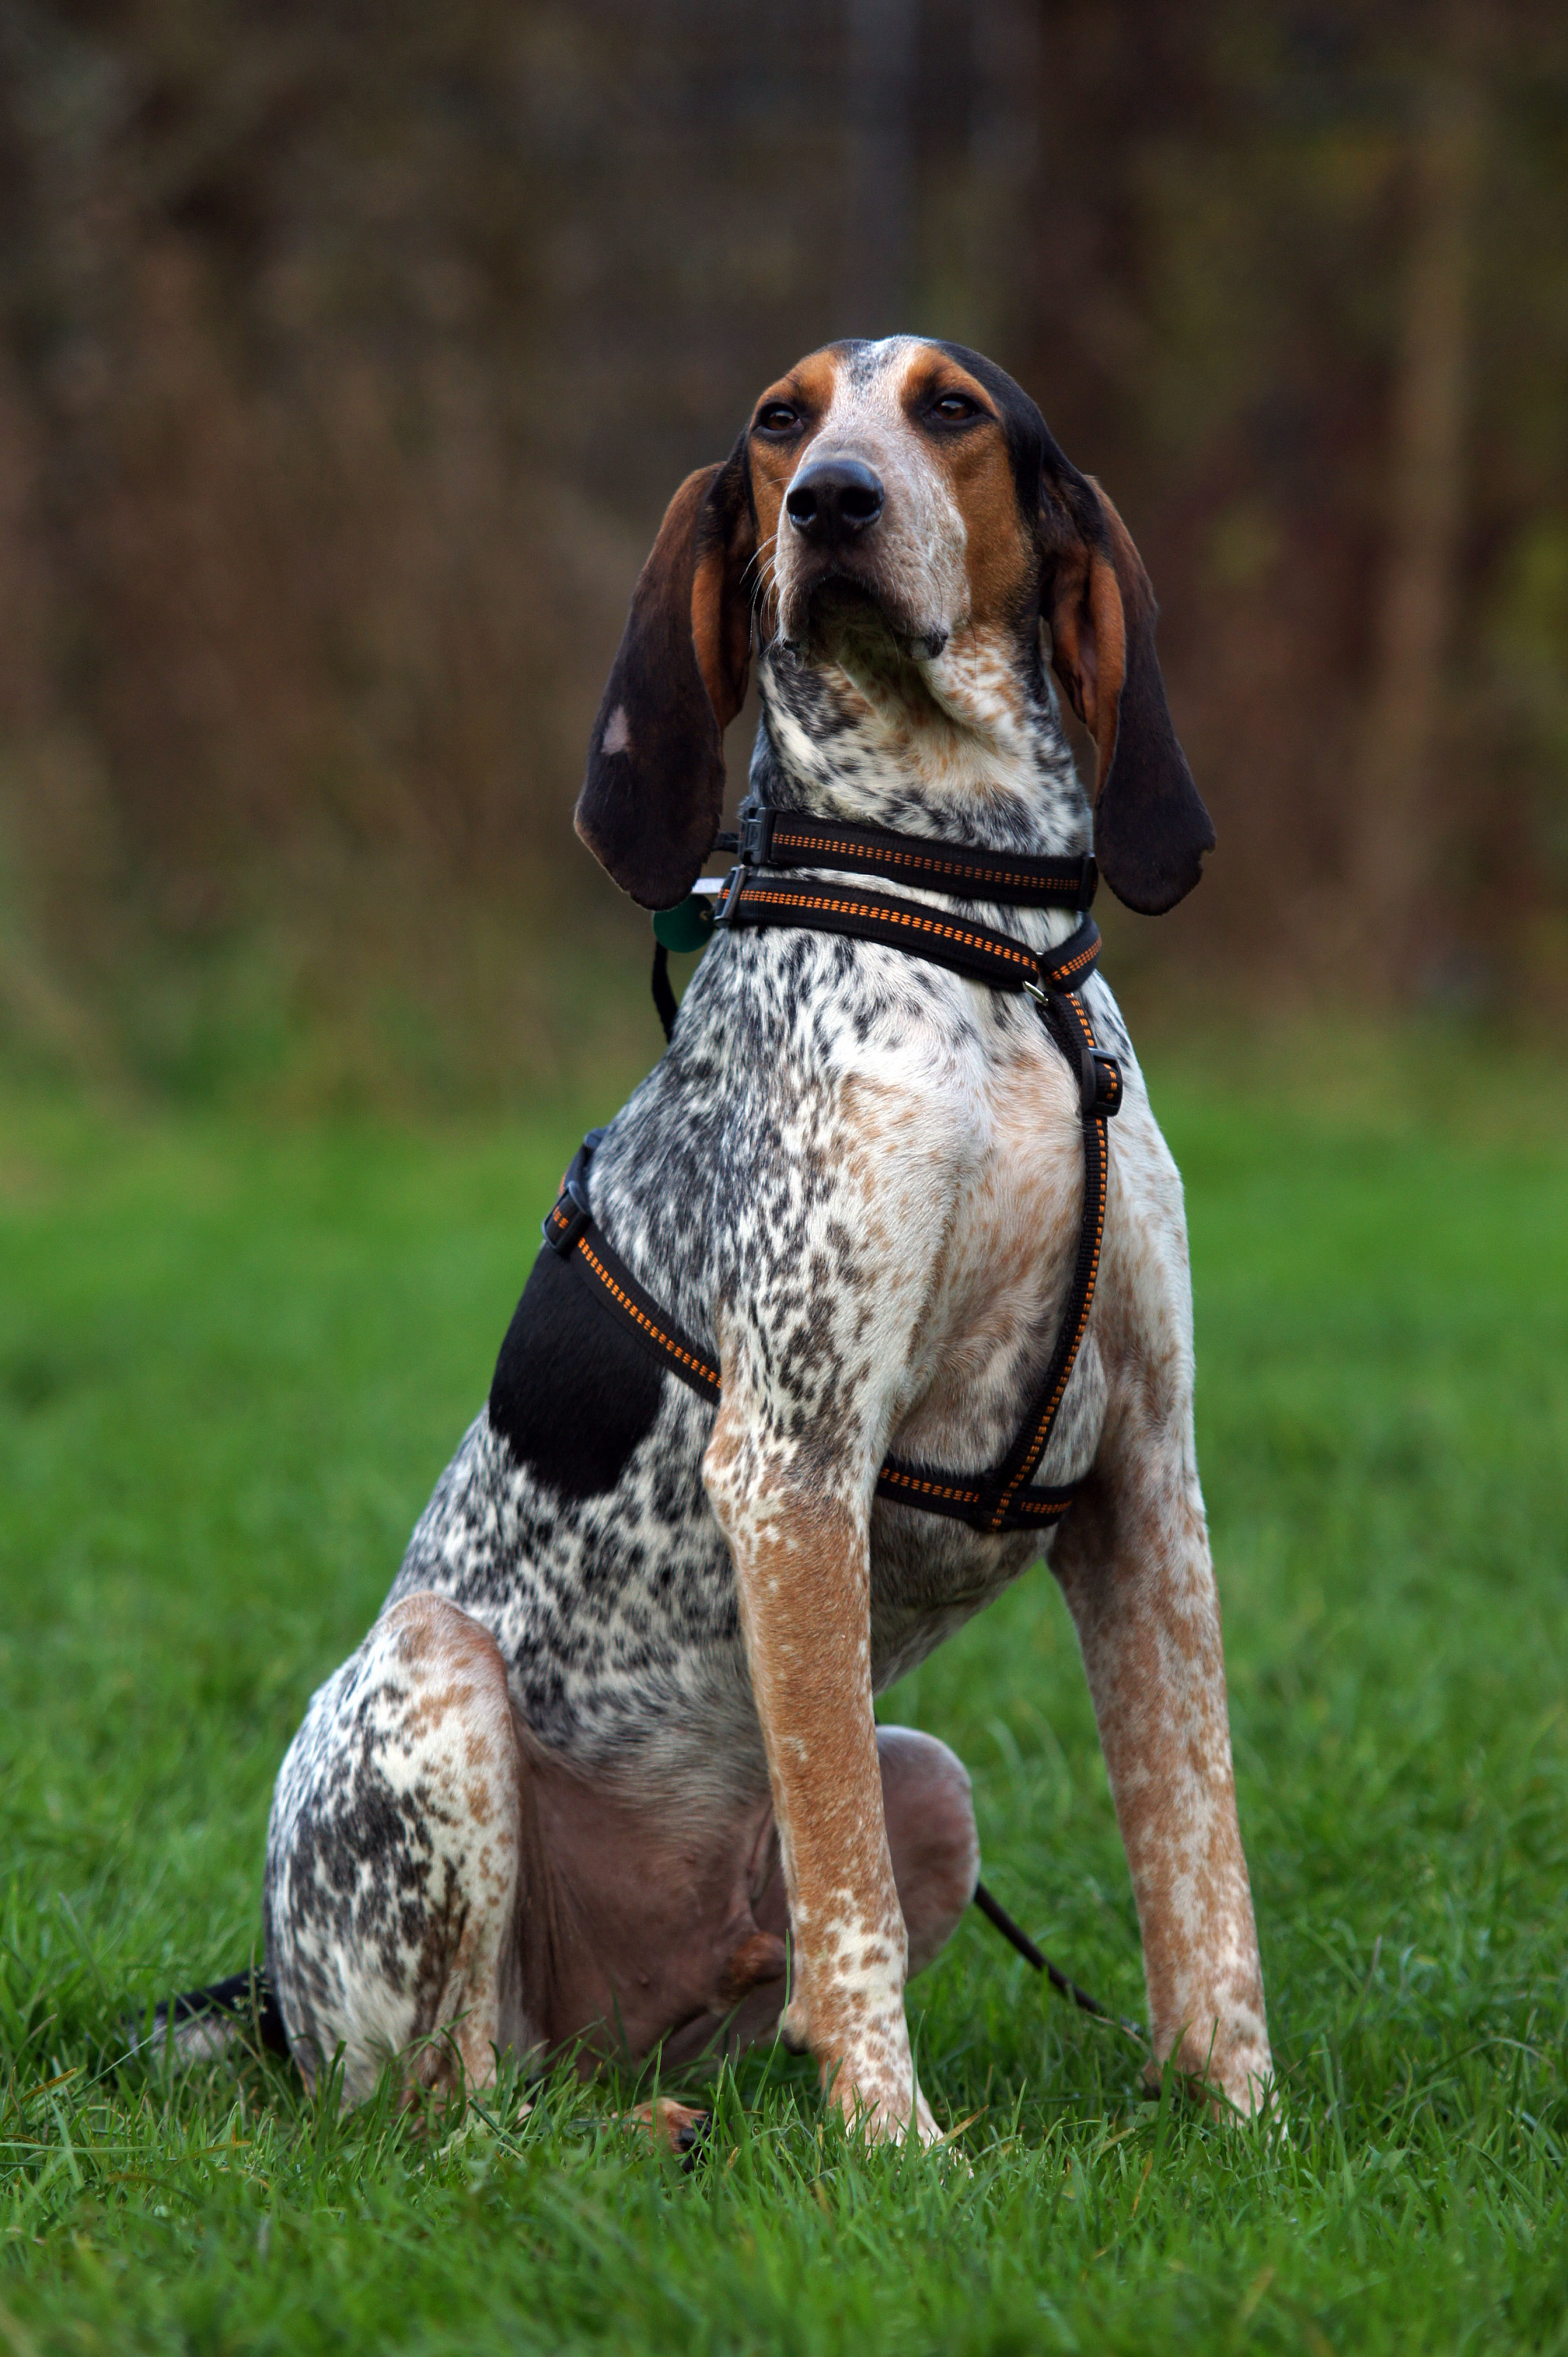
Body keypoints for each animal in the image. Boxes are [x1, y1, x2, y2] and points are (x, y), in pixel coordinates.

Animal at [251, 342, 1273, 2150]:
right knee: (444, 2103)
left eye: (950, 411)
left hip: (926, 1777)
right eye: (777, 423)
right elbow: (842, 1887)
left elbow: (1196, 1861)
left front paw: (1241, 2117)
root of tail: (257, 2008)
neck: (979, 927)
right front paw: (897, 2151)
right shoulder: (793, 1464)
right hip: (437, 1695)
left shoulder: (1148, 1480)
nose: (832, 504)